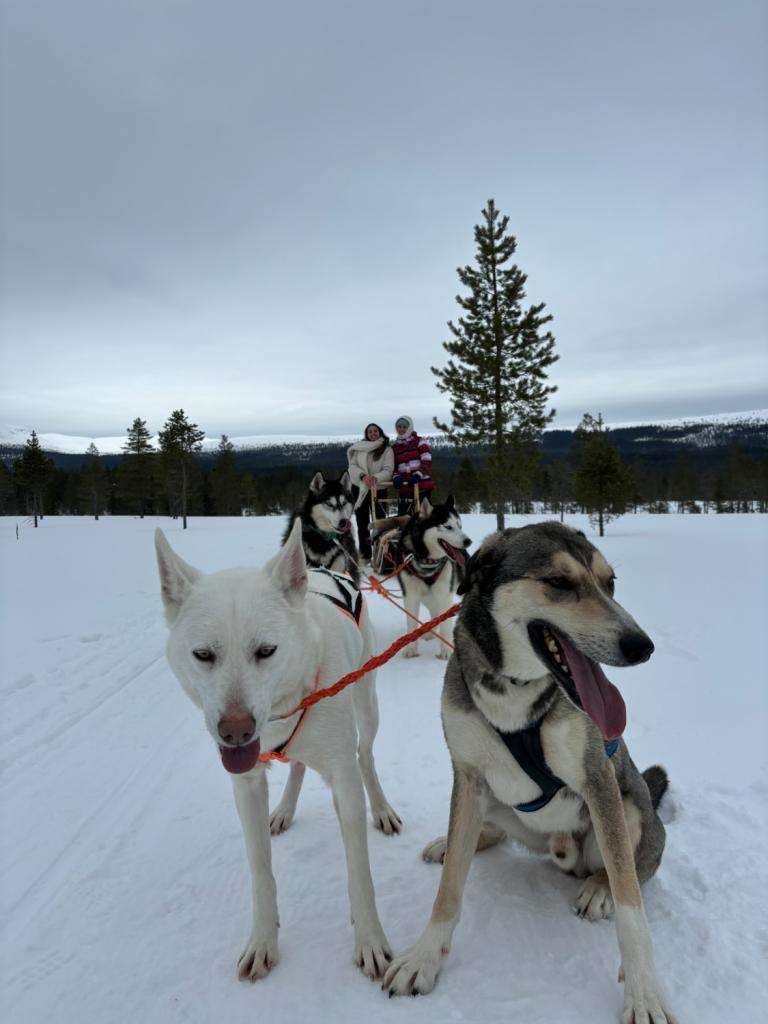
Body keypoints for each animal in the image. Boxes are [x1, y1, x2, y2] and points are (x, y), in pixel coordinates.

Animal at [153, 524, 399, 978]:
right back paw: (284, 808)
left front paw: (370, 938)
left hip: (367, 705)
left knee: (366, 756)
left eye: (266, 650)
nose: (235, 731)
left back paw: (382, 807)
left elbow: (360, 872)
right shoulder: (246, 784)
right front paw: (263, 939)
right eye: (203, 654)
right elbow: (260, 871)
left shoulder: (344, 779)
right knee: (298, 765)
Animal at [385, 528, 679, 1024]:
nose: (642, 645)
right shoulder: (467, 775)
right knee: (487, 831)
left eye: (610, 582)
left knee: (630, 867)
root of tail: (561, 852)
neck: (515, 692)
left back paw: (597, 887)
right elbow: (448, 891)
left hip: (630, 808)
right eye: (559, 582)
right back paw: (456, 842)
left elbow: (631, 905)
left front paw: (644, 992)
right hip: (495, 802)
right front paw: (424, 957)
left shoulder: (598, 779)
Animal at [391, 497, 468, 659]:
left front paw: (446, 650)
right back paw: (430, 633)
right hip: (427, 597)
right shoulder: (411, 595)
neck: (427, 561)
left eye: (460, 526)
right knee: (435, 612)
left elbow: (446, 625)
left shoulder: (444, 594)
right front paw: (411, 648)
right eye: (448, 527)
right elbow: (411, 623)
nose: (468, 541)